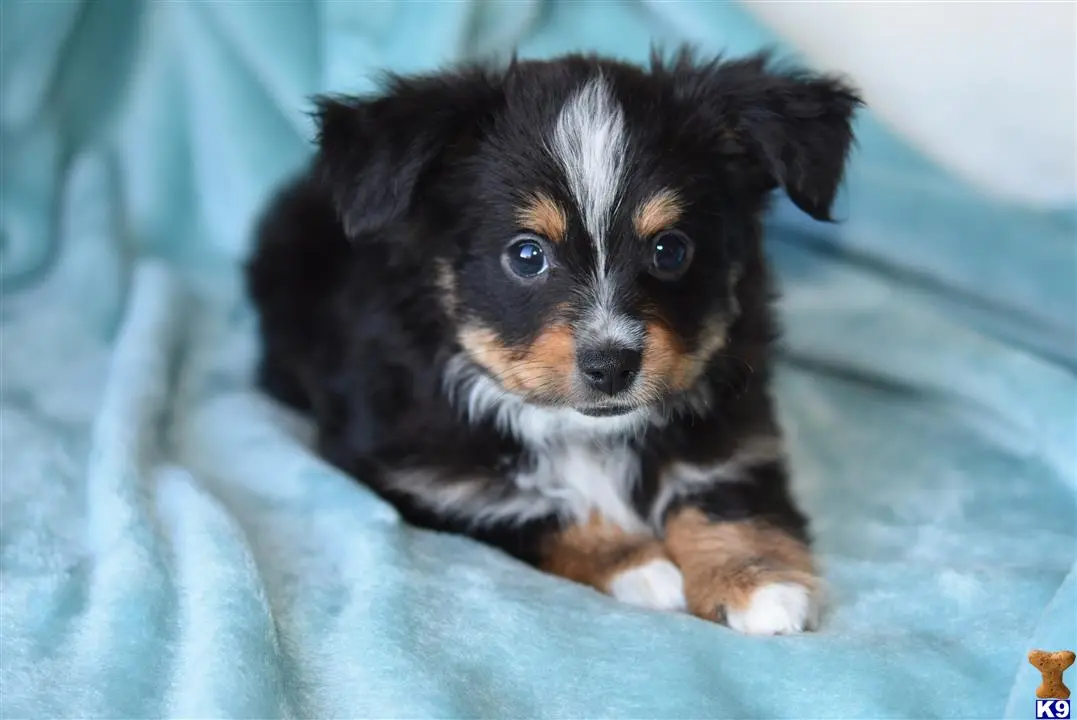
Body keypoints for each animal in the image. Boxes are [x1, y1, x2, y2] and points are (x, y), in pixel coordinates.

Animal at [246, 49, 857, 632]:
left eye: (671, 250)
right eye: (526, 255)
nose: (611, 365)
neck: (583, 434)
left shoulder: (738, 434)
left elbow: (724, 494)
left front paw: (757, 582)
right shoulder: (420, 477)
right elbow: (533, 508)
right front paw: (638, 565)